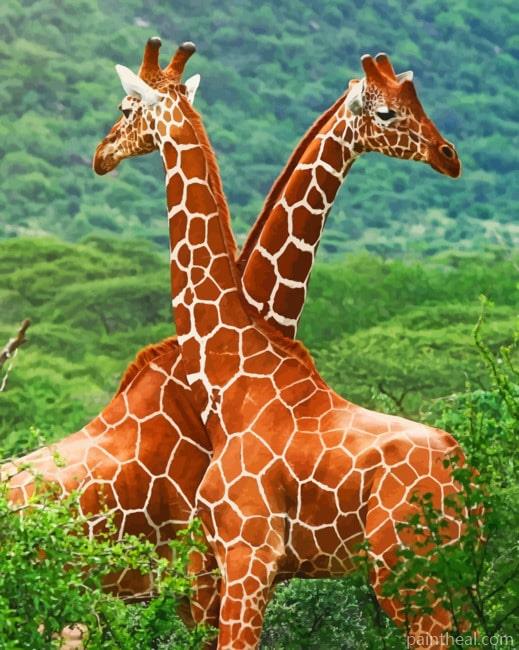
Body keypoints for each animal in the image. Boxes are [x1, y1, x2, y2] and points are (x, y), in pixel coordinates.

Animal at [92, 42, 472, 649]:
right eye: (389, 111)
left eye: (127, 108)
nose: (449, 155)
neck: (232, 372)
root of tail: (469, 480)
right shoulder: (229, 565)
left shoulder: (246, 553)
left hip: (411, 576)